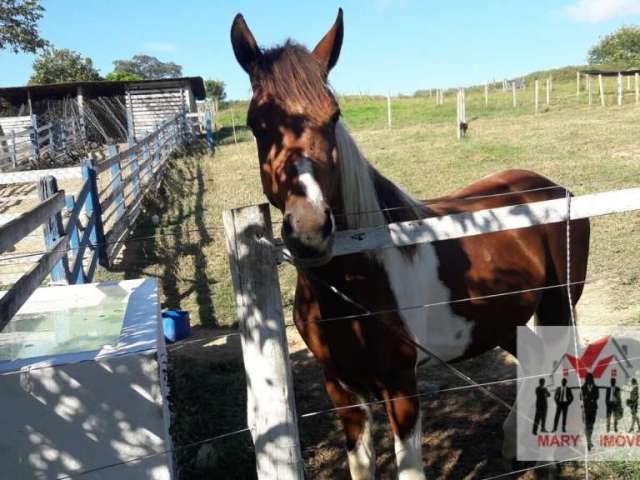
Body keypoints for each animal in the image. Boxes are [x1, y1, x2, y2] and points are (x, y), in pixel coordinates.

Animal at [230, 9, 592, 478]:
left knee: (555, 364)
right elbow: (361, 464)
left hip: (557, 307)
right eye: (257, 124)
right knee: (531, 362)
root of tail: (554, 189)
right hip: (503, 319)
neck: (357, 282)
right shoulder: (341, 387)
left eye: (333, 116)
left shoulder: (401, 384)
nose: (310, 228)